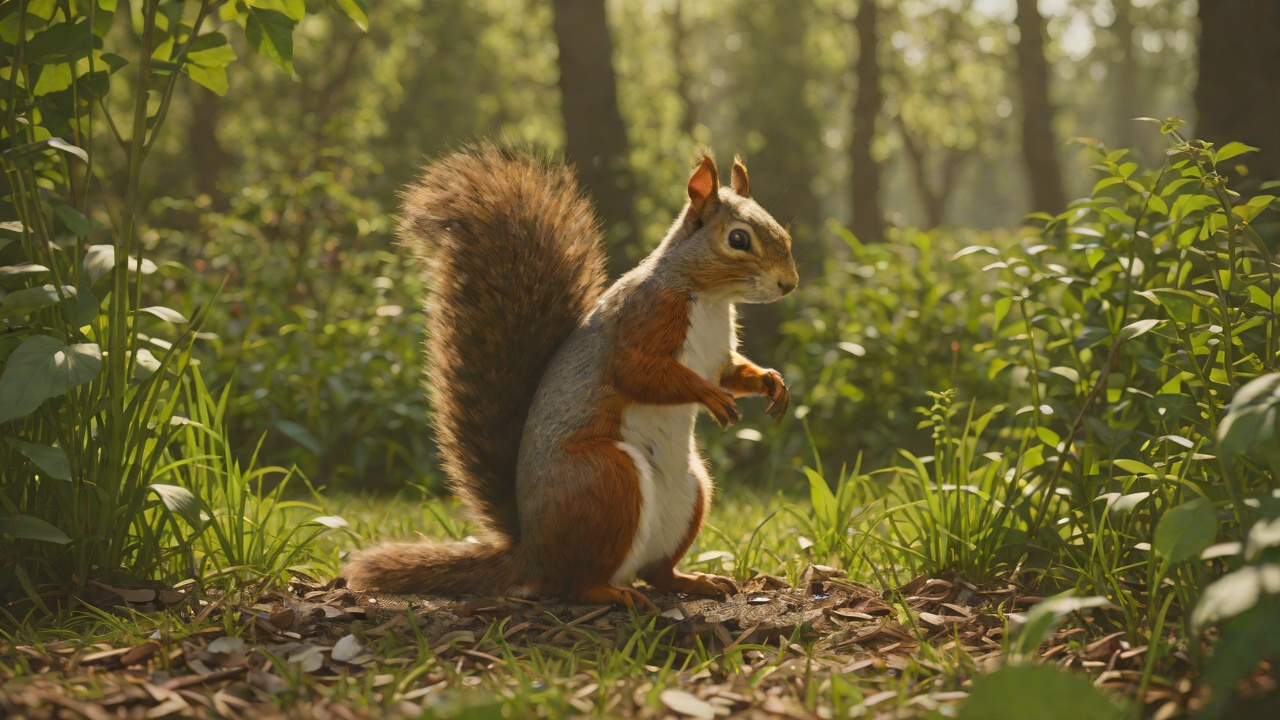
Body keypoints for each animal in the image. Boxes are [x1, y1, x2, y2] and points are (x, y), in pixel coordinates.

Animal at [343, 144, 798, 609]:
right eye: (738, 239)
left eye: (783, 232)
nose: (789, 283)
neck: (709, 298)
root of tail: (534, 553)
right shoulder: (641, 322)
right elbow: (640, 373)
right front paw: (710, 397)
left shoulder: (717, 356)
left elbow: (732, 373)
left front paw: (771, 383)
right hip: (604, 477)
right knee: (578, 583)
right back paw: (615, 594)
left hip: (692, 492)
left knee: (657, 573)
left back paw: (694, 581)